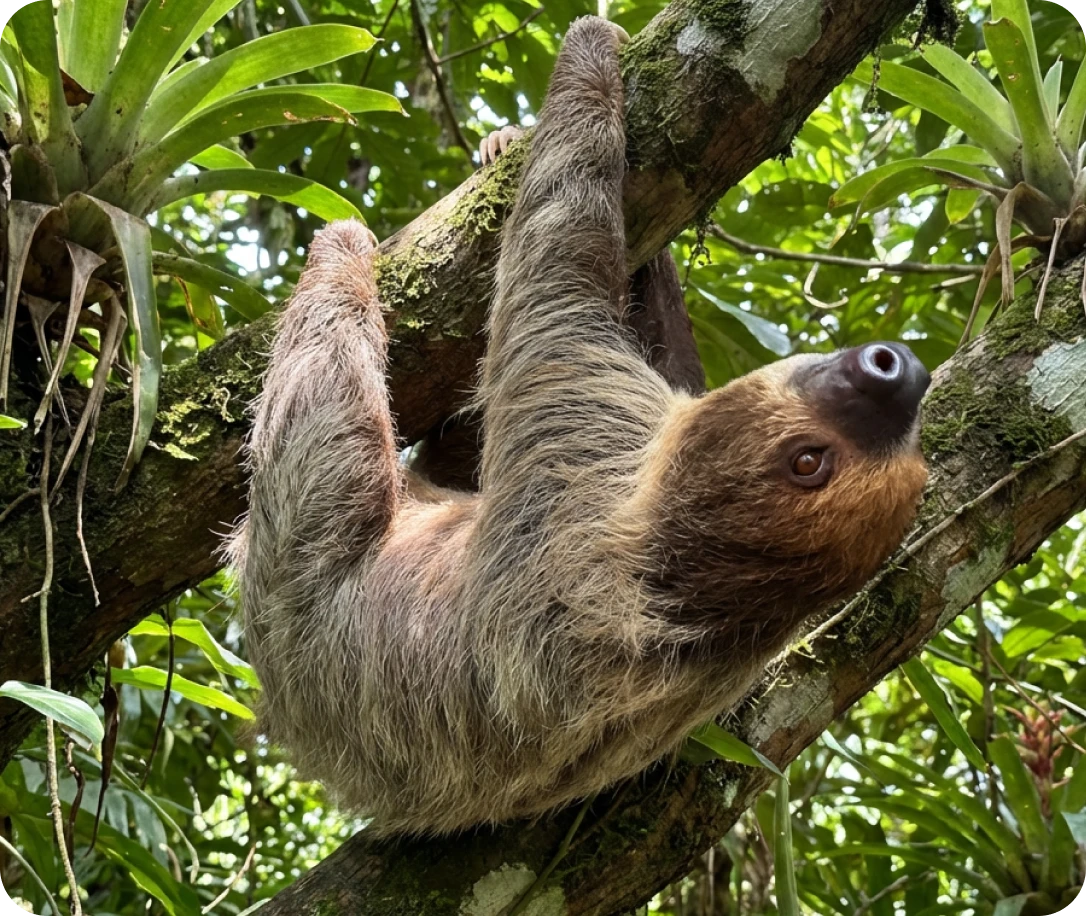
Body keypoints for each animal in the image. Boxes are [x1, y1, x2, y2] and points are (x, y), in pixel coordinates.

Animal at [229, 16, 930, 837]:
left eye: (809, 461)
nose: (895, 372)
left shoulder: (578, 437)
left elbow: (557, 248)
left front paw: (591, 48)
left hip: (292, 591)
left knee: (327, 421)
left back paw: (339, 252)